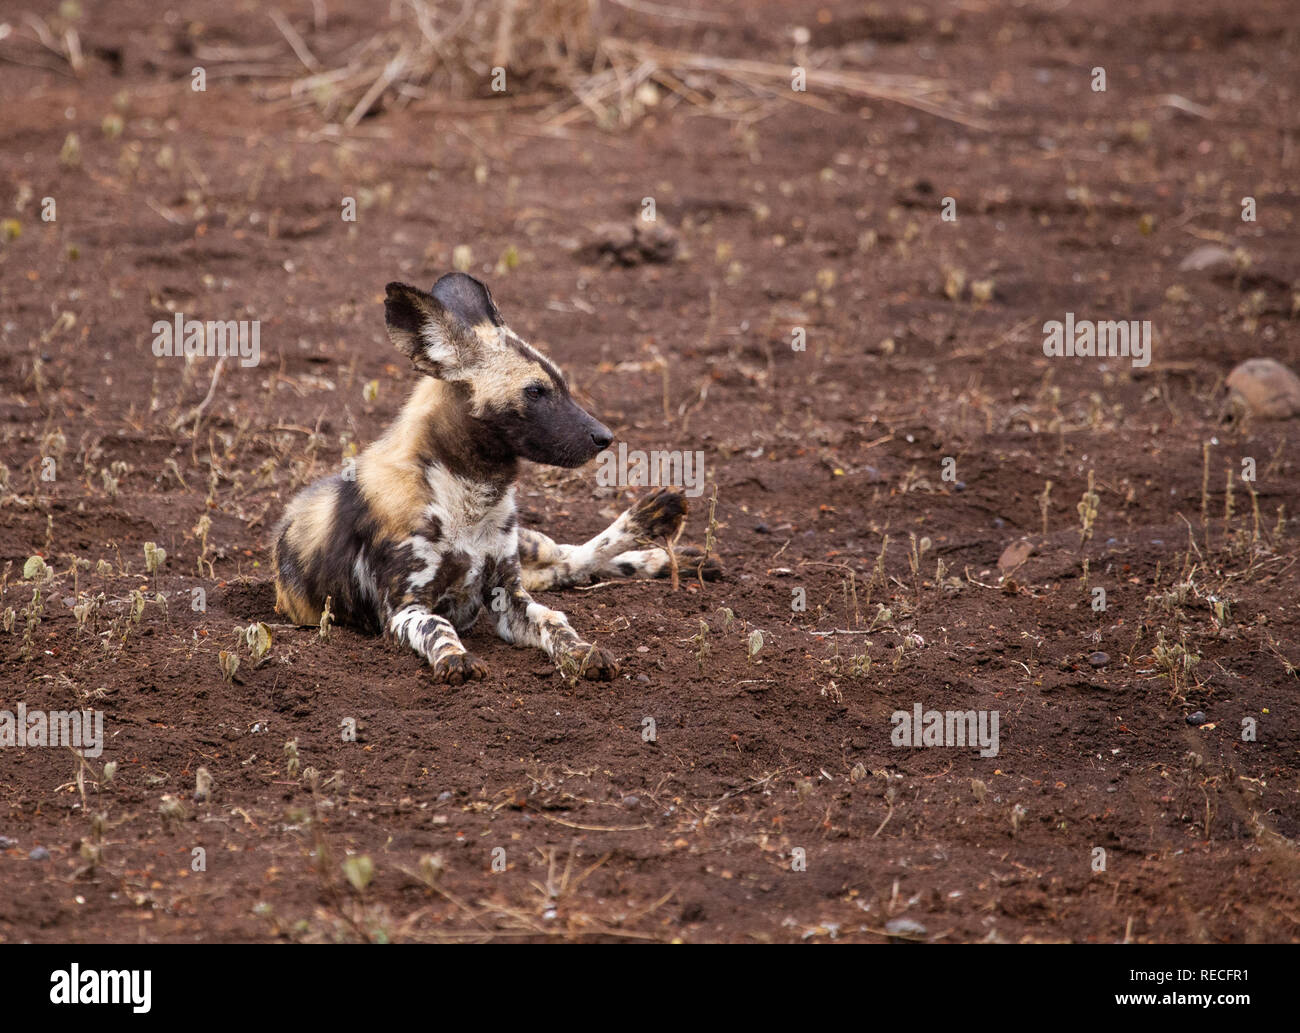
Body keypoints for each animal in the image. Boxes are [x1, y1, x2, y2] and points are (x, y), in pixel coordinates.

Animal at [274, 270, 722, 680]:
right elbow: (438, 625)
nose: (605, 437)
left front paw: (583, 652)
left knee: (571, 556)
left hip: (527, 542)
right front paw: (455, 658)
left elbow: (556, 622)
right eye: (536, 392)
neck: (471, 492)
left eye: (562, 386)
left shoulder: (510, 594)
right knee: (567, 567)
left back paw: (660, 536)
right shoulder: (404, 609)